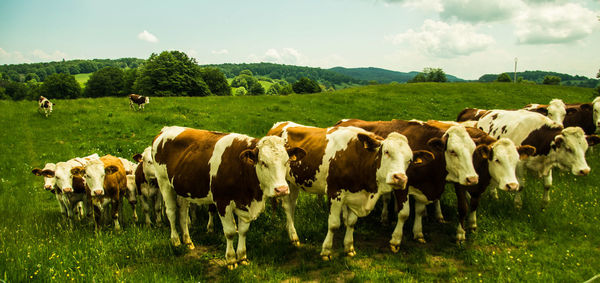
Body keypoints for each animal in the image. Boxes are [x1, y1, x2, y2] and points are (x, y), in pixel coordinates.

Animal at [152, 127, 308, 270]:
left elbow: (243, 231)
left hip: (183, 188)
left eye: (286, 161)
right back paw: (176, 241)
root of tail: (166, 129)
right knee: (171, 212)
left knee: (183, 213)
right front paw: (231, 260)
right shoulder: (222, 202)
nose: (282, 189)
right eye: (263, 162)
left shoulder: (245, 205)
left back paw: (188, 240)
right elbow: (230, 232)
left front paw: (242, 257)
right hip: (163, 181)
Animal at [268, 121, 432, 260]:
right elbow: (334, 224)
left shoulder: (355, 195)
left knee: (292, 205)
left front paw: (349, 247)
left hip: (294, 182)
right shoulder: (335, 193)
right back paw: (293, 236)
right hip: (284, 182)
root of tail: (279, 125)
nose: (400, 178)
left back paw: (290, 229)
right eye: (386, 152)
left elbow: (351, 222)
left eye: (410, 160)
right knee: (287, 206)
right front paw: (326, 251)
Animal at [336, 119, 480, 251]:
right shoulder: (402, 184)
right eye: (452, 151)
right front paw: (396, 240)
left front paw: (419, 233)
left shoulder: (426, 186)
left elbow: (421, 210)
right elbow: (404, 213)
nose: (472, 179)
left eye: (473, 150)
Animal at [460, 108, 600, 209]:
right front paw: (518, 204)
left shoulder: (548, 163)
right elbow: (521, 185)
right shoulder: (520, 164)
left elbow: (548, 184)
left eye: (585, 148)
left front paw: (544, 204)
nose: (585, 170)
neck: (539, 137)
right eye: (569, 148)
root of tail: (487, 112)